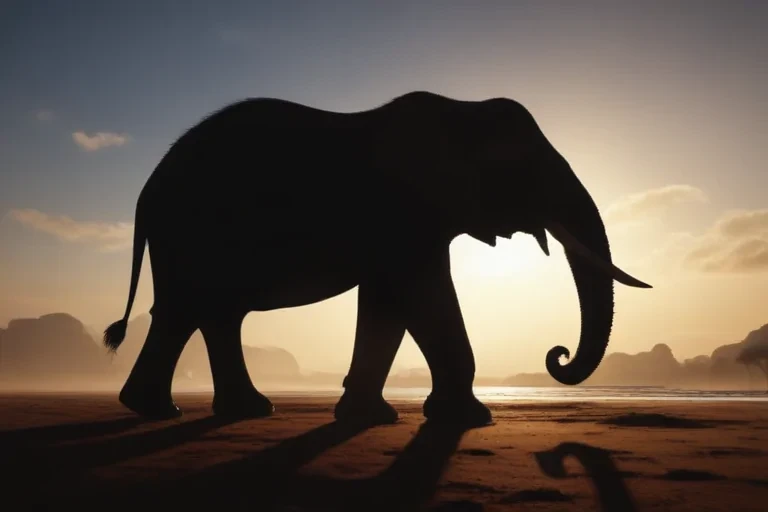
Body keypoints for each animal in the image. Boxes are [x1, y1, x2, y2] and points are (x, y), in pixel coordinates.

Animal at [103, 90, 651, 426]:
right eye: (523, 171)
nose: (556, 354)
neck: (460, 110)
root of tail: (146, 189)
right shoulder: (405, 215)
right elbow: (424, 296)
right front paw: (467, 420)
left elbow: (387, 303)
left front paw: (369, 417)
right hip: (189, 234)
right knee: (190, 309)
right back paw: (172, 412)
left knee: (208, 314)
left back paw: (229, 410)